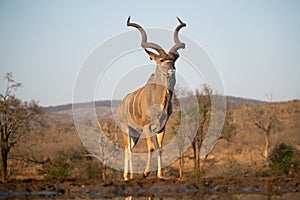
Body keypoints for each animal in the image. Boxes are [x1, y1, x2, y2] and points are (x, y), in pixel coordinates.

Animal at [116, 16, 185, 180]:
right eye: (161, 61)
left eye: (173, 60)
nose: (171, 70)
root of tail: (119, 107)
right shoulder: (147, 127)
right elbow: (152, 147)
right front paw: (146, 173)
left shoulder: (161, 127)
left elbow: (160, 148)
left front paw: (160, 175)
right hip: (126, 129)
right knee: (128, 149)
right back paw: (128, 176)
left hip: (135, 133)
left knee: (130, 148)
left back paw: (129, 176)